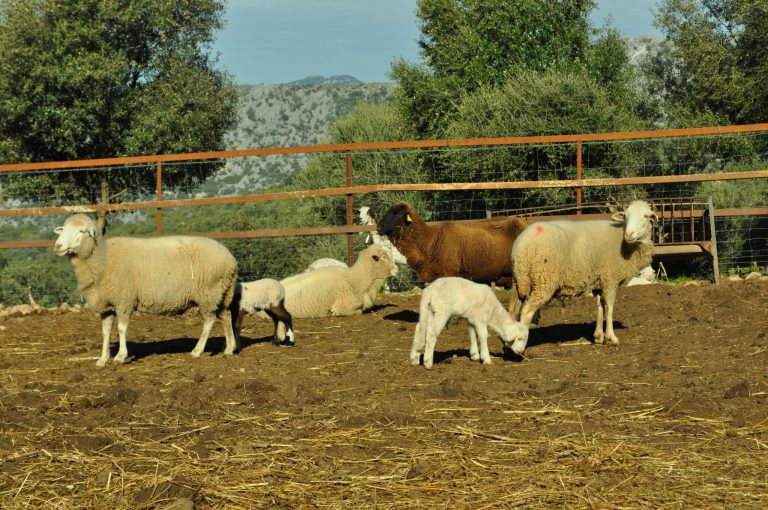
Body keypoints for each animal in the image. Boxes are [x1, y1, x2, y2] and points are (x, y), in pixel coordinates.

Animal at [53, 213, 237, 364]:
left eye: (81, 231)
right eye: (64, 230)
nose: (58, 246)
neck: (103, 258)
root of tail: (231, 259)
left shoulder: (124, 300)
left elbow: (121, 329)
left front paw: (120, 356)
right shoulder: (106, 304)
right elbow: (105, 331)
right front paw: (103, 359)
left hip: (209, 293)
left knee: (209, 321)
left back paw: (197, 351)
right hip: (221, 292)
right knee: (226, 316)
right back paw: (229, 349)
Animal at [510, 199, 660, 350]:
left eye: (646, 216)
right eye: (626, 216)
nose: (629, 234)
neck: (625, 244)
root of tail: (522, 245)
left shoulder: (599, 280)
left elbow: (600, 307)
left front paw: (598, 337)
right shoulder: (610, 278)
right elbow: (609, 307)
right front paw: (611, 338)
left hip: (519, 282)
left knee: (512, 311)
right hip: (544, 280)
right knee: (526, 312)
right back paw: (520, 347)